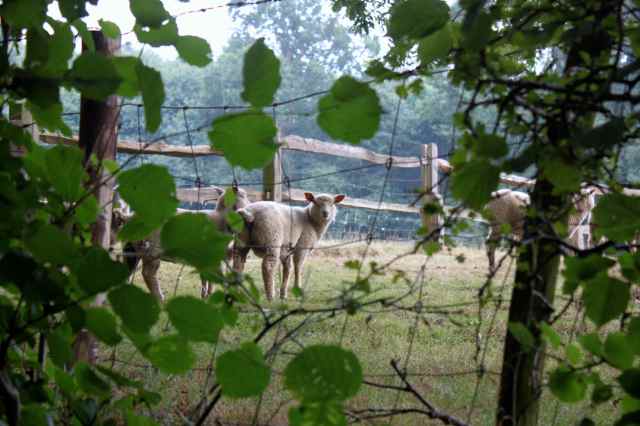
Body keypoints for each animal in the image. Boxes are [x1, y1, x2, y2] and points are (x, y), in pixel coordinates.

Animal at [112, 187, 250, 302]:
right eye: (242, 196)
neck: (221, 219)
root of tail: (129, 217)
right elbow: (217, 277)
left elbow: (205, 277)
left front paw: (205, 297)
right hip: (151, 249)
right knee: (148, 273)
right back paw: (159, 298)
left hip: (131, 247)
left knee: (128, 270)